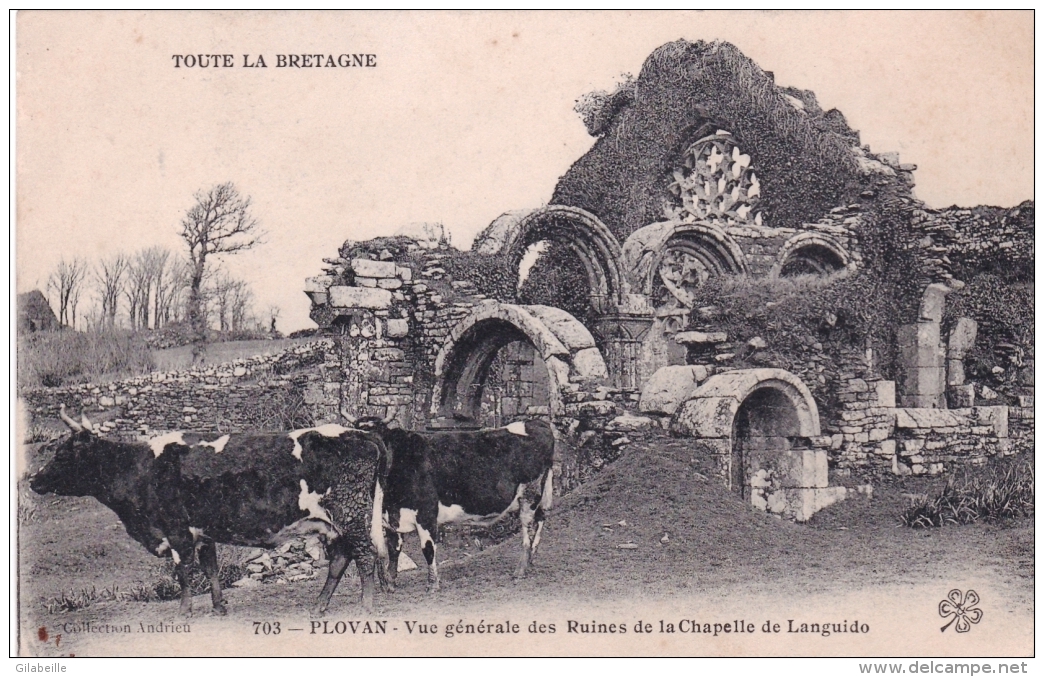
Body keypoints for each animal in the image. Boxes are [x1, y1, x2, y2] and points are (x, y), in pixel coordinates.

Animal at [32, 405, 392, 614]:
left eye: (62, 454)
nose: (34, 480)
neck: (140, 467)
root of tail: (359, 433)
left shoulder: (177, 530)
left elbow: (184, 572)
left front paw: (183, 613)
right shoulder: (202, 531)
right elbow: (211, 569)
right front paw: (219, 607)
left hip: (351, 514)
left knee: (365, 556)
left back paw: (366, 607)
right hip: (335, 523)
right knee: (341, 559)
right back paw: (318, 606)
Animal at [350, 407, 559, 593]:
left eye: (379, 439)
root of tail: (536, 422)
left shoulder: (426, 512)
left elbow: (428, 549)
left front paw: (433, 584)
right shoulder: (393, 515)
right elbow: (394, 549)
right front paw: (391, 583)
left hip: (530, 492)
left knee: (528, 526)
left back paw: (521, 569)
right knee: (541, 518)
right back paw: (531, 560)